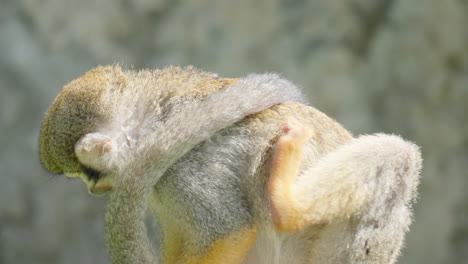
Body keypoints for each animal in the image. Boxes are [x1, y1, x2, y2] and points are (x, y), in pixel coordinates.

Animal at [39, 64, 420, 264]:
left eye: (87, 173)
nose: (92, 189)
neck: (152, 126)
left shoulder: (187, 167)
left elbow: (226, 232)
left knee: (398, 157)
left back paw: (287, 207)